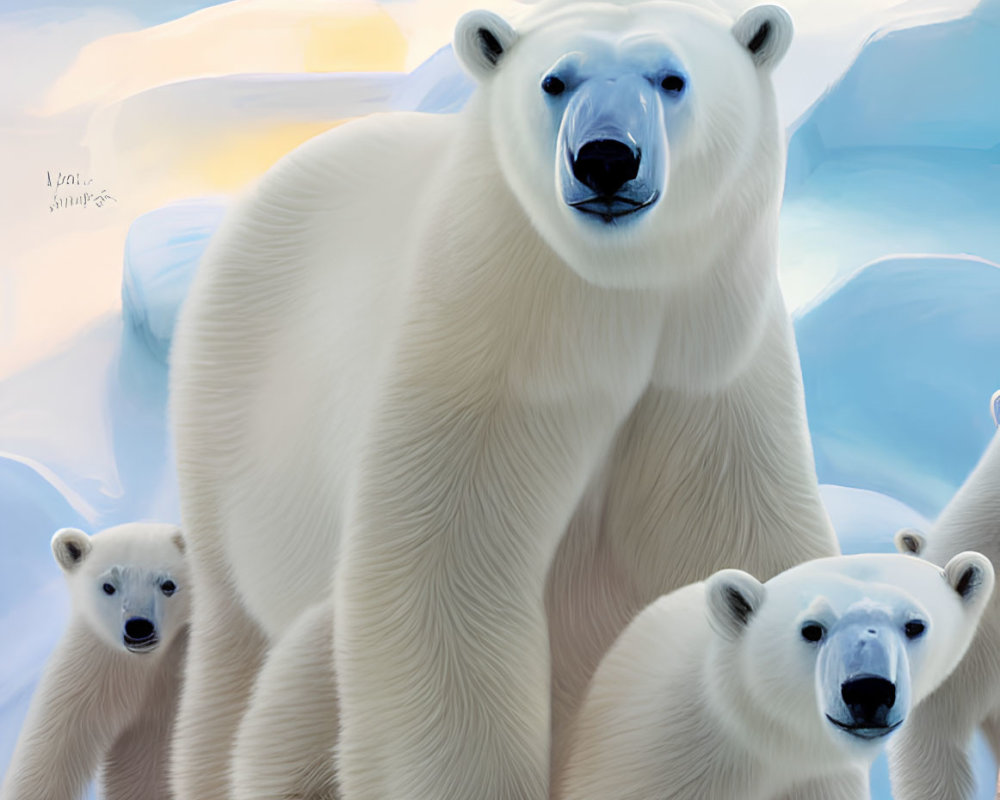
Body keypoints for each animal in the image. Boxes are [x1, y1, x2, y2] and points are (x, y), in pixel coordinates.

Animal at [170, 3, 836, 796]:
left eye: (671, 78)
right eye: (554, 80)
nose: (605, 158)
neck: (613, 301)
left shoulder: (709, 373)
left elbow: (738, 554)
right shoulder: (484, 356)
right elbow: (441, 585)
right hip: (231, 418)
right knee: (239, 648)